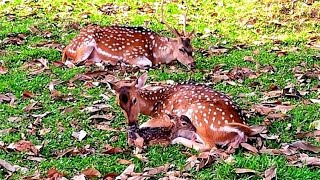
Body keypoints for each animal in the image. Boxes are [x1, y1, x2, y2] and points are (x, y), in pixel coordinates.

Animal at [60, 0, 195, 69]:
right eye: (181, 49)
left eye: (192, 49)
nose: (193, 64)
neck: (155, 52)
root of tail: (67, 48)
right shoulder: (131, 53)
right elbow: (148, 63)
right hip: (85, 46)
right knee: (72, 63)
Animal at [109, 73, 254, 152]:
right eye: (118, 104)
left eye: (134, 100)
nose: (131, 123)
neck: (155, 104)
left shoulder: (163, 116)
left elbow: (145, 126)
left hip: (199, 116)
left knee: (210, 146)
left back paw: (178, 139)